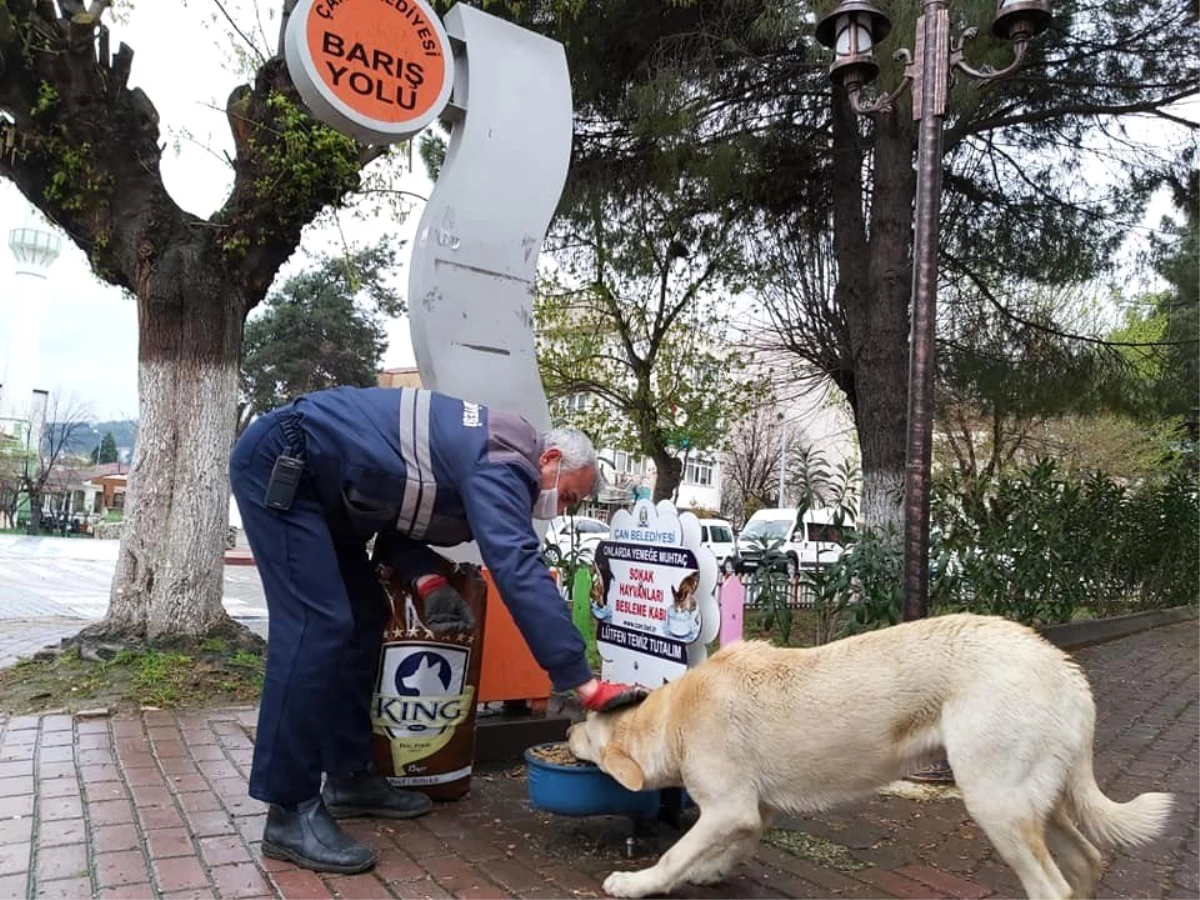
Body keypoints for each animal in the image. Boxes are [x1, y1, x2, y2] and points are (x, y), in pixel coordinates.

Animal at [568, 614, 1171, 900]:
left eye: (589, 737)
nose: (569, 727)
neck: (675, 714)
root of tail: (1065, 670)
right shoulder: (751, 811)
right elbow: (731, 846)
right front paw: (711, 870)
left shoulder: (728, 808)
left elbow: (676, 854)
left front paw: (640, 883)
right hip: (1037, 804)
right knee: (1087, 861)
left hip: (996, 805)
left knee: (1053, 885)